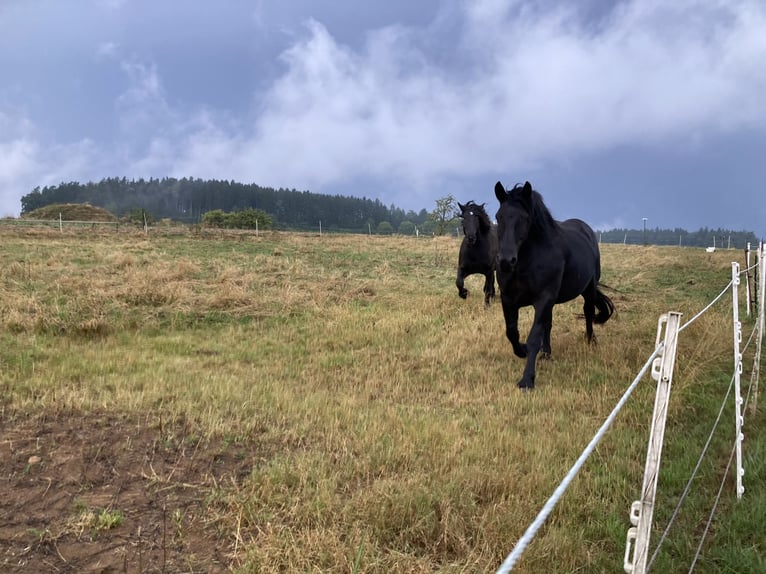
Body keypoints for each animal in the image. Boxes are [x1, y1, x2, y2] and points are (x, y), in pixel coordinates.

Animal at [496, 182, 616, 390]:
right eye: (498, 216)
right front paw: (523, 350)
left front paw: (527, 380)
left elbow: (534, 337)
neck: (527, 261)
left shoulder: (543, 298)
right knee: (549, 324)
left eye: (524, 218)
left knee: (588, 312)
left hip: (588, 289)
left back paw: (590, 341)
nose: (506, 261)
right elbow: (512, 332)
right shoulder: (508, 299)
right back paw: (547, 353)